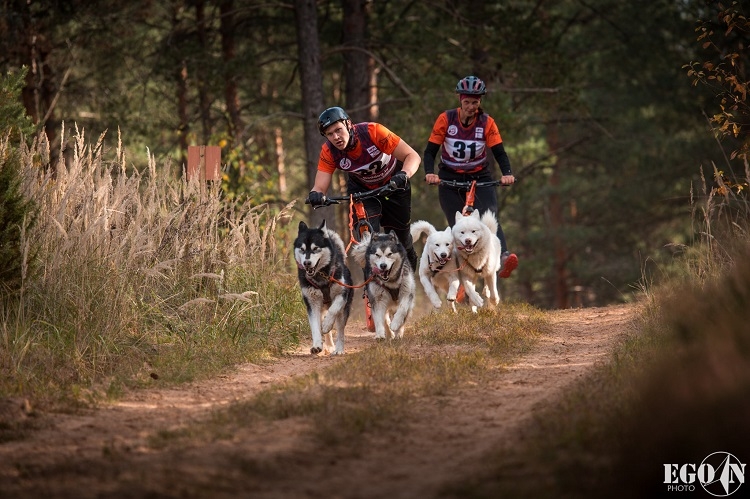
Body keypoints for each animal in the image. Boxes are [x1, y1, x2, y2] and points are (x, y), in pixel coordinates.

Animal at [294, 220, 356, 356]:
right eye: (302, 249)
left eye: (315, 248)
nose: (306, 263)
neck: (321, 277)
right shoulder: (312, 304)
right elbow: (315, 327)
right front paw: (317, 345)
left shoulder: (342, 294)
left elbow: (333, 311)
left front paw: (327, 324)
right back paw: (329, 345)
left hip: (344, 310)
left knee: (340, 329)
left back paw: (338, 349)